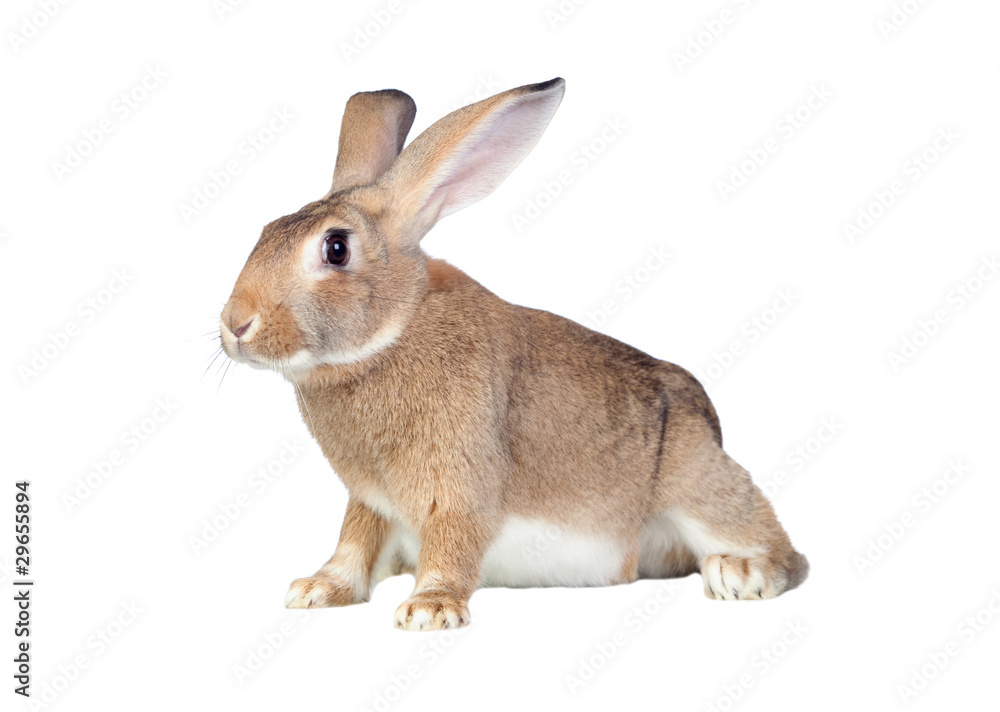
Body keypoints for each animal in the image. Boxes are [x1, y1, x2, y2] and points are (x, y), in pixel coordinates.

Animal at [219, 78, 809, 631]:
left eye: (336, 248)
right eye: (265, 231)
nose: (234, 324)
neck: (393, 331)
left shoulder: (461, 481)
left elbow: (451, 541)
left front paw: (429, 610)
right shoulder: (370, 501)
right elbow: (354, 543)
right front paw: (317, 590)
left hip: (693, 477)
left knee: (782, 552)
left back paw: (739, 573)